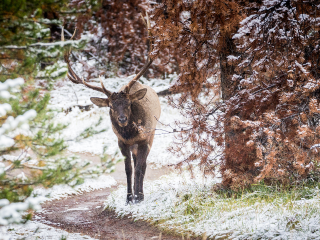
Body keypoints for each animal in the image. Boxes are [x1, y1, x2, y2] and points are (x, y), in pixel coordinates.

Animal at [60, 23, 160, 203]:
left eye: (129, 104)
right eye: (111, 106)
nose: (122, 118)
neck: (130, 135)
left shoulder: (144, 139)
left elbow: (140, 168)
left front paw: (138, 197)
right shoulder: (121, 142)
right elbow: (128, 169)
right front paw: (128, 198)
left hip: (152, 135)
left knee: (143, 164)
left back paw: (140, 193)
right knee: (136, 163)